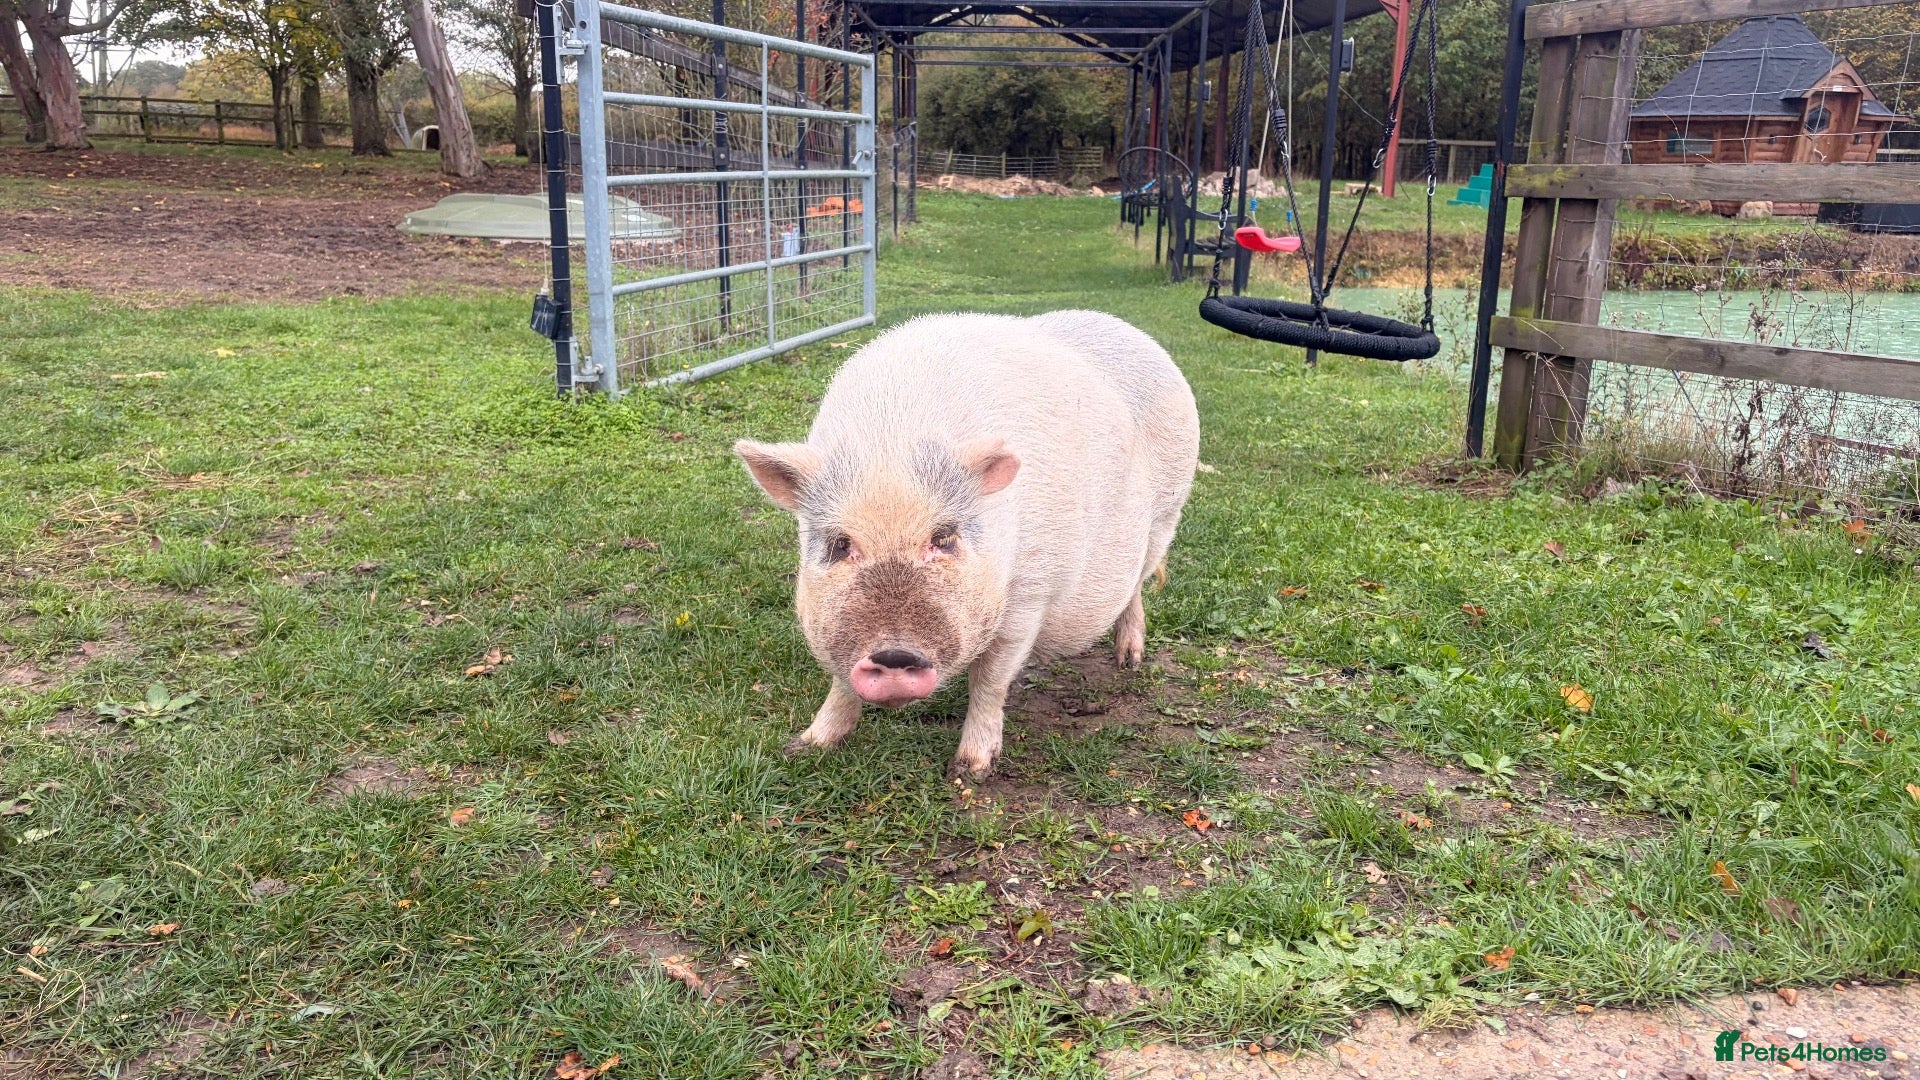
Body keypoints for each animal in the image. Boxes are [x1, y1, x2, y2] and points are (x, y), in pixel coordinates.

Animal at [734, 310, 1200, 778]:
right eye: (841, 544)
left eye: (944, 538)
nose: (894, 655)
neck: (893, 442)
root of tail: (1129, 330)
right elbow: (841, 681)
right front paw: (804, 746)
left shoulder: (1029, 593)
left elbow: (990, 681)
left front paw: (970, 769)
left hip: (1167, 514)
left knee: (1137, 585)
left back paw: (1128, 660)